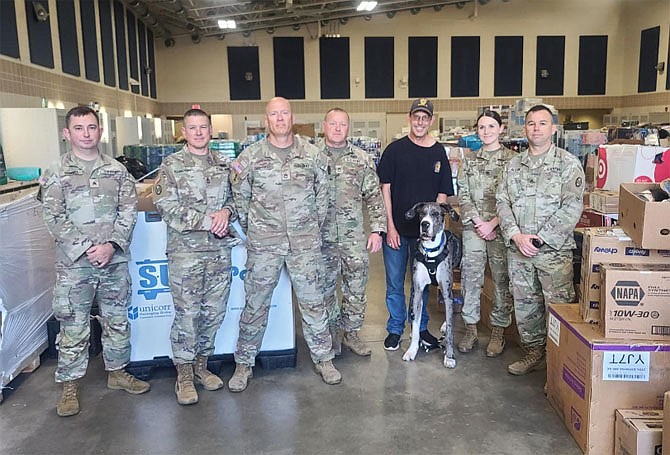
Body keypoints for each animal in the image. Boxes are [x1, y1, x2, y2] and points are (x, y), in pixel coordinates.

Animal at [404, 205, 462, 368]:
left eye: (436, 214)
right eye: (422, 214)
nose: (425, 224)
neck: (431, 252)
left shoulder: (446, 292)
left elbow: (450, 330)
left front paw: (449, 356)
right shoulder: (417, 292)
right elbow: (416, 326)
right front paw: (412, 351)